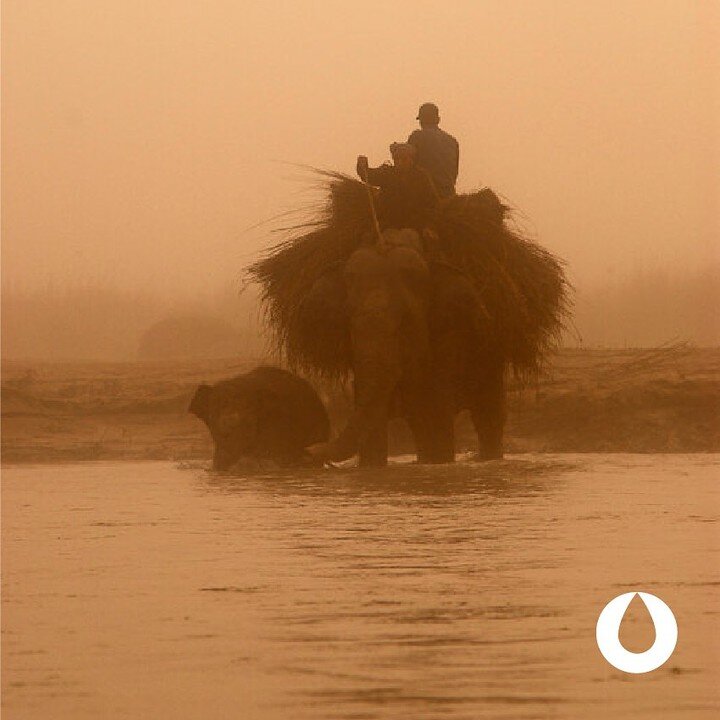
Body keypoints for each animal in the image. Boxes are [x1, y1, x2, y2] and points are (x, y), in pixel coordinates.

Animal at [306, 231, 504, 466]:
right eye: (348, 318)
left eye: (405, 321)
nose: (309, 449)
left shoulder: (449, 333)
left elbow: (435, 409)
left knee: (487, 414)